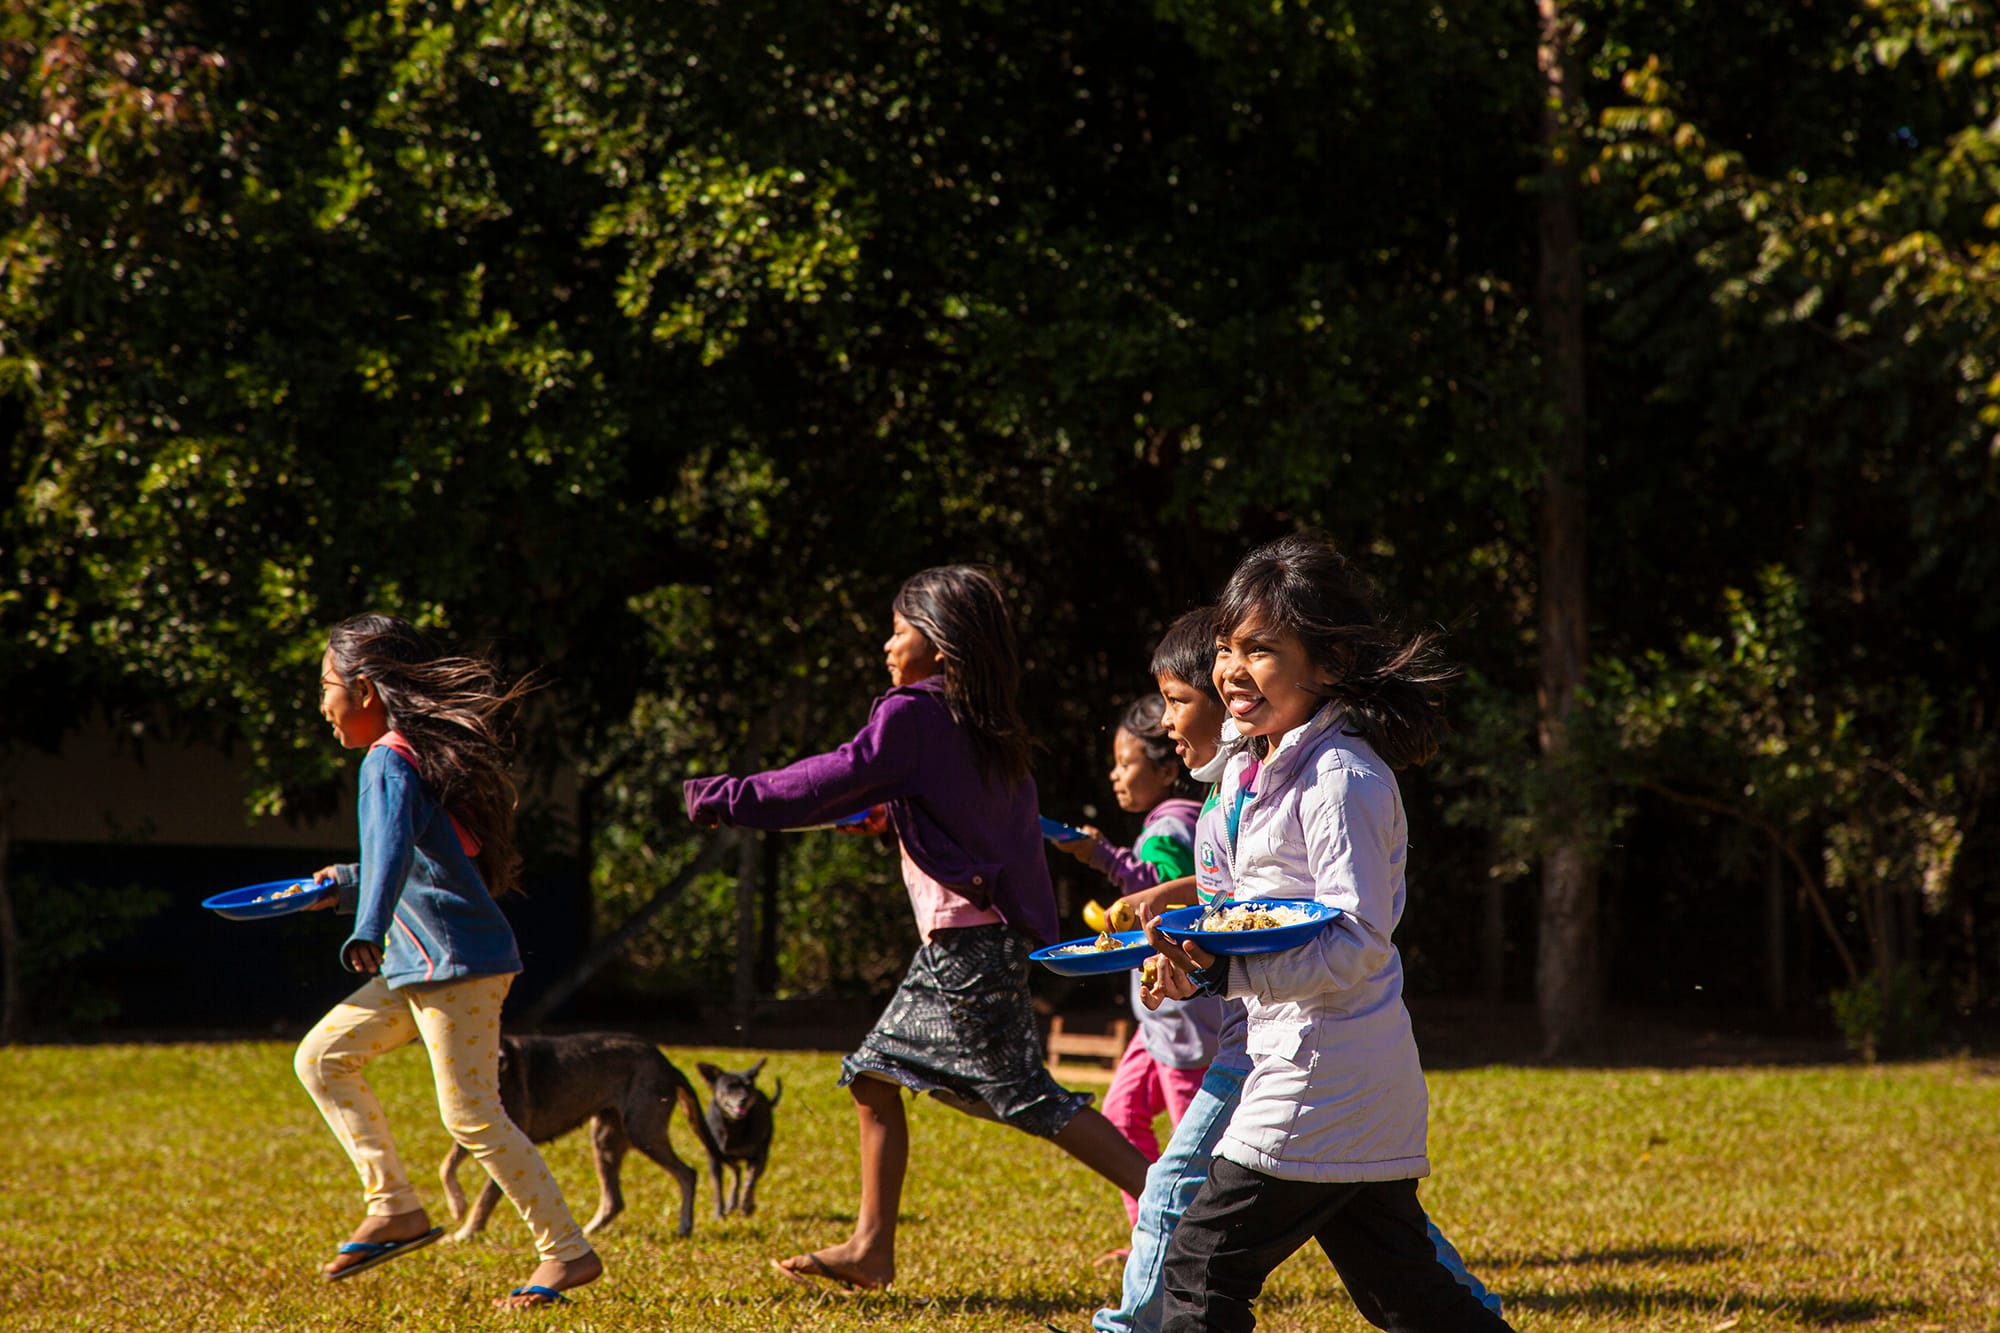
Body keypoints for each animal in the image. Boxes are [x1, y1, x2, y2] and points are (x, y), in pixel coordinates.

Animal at [442, 1024, 732, 1232]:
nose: (501, 1059)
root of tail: (666, 1063)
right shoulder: (469, 1134)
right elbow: (446, 1167)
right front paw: (457, 1207)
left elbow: (484, 1198)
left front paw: (466, 1233)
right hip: (606, 1138)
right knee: (614, 1200)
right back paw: (591, 1231)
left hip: (643, 1131)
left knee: (687, 1174)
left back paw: (685, 1226)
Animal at [700, 1056, 784, 1216]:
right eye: (729, 1087)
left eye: (748, 1086)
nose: (743, 1098)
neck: (734, 1125)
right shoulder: (715, 1159)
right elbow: (718, 1187)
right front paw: (719, 1213)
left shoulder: (757, 1157)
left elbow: (750, 1181)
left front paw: (746, 1204)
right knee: (736, 1172)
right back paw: (731, 1202)